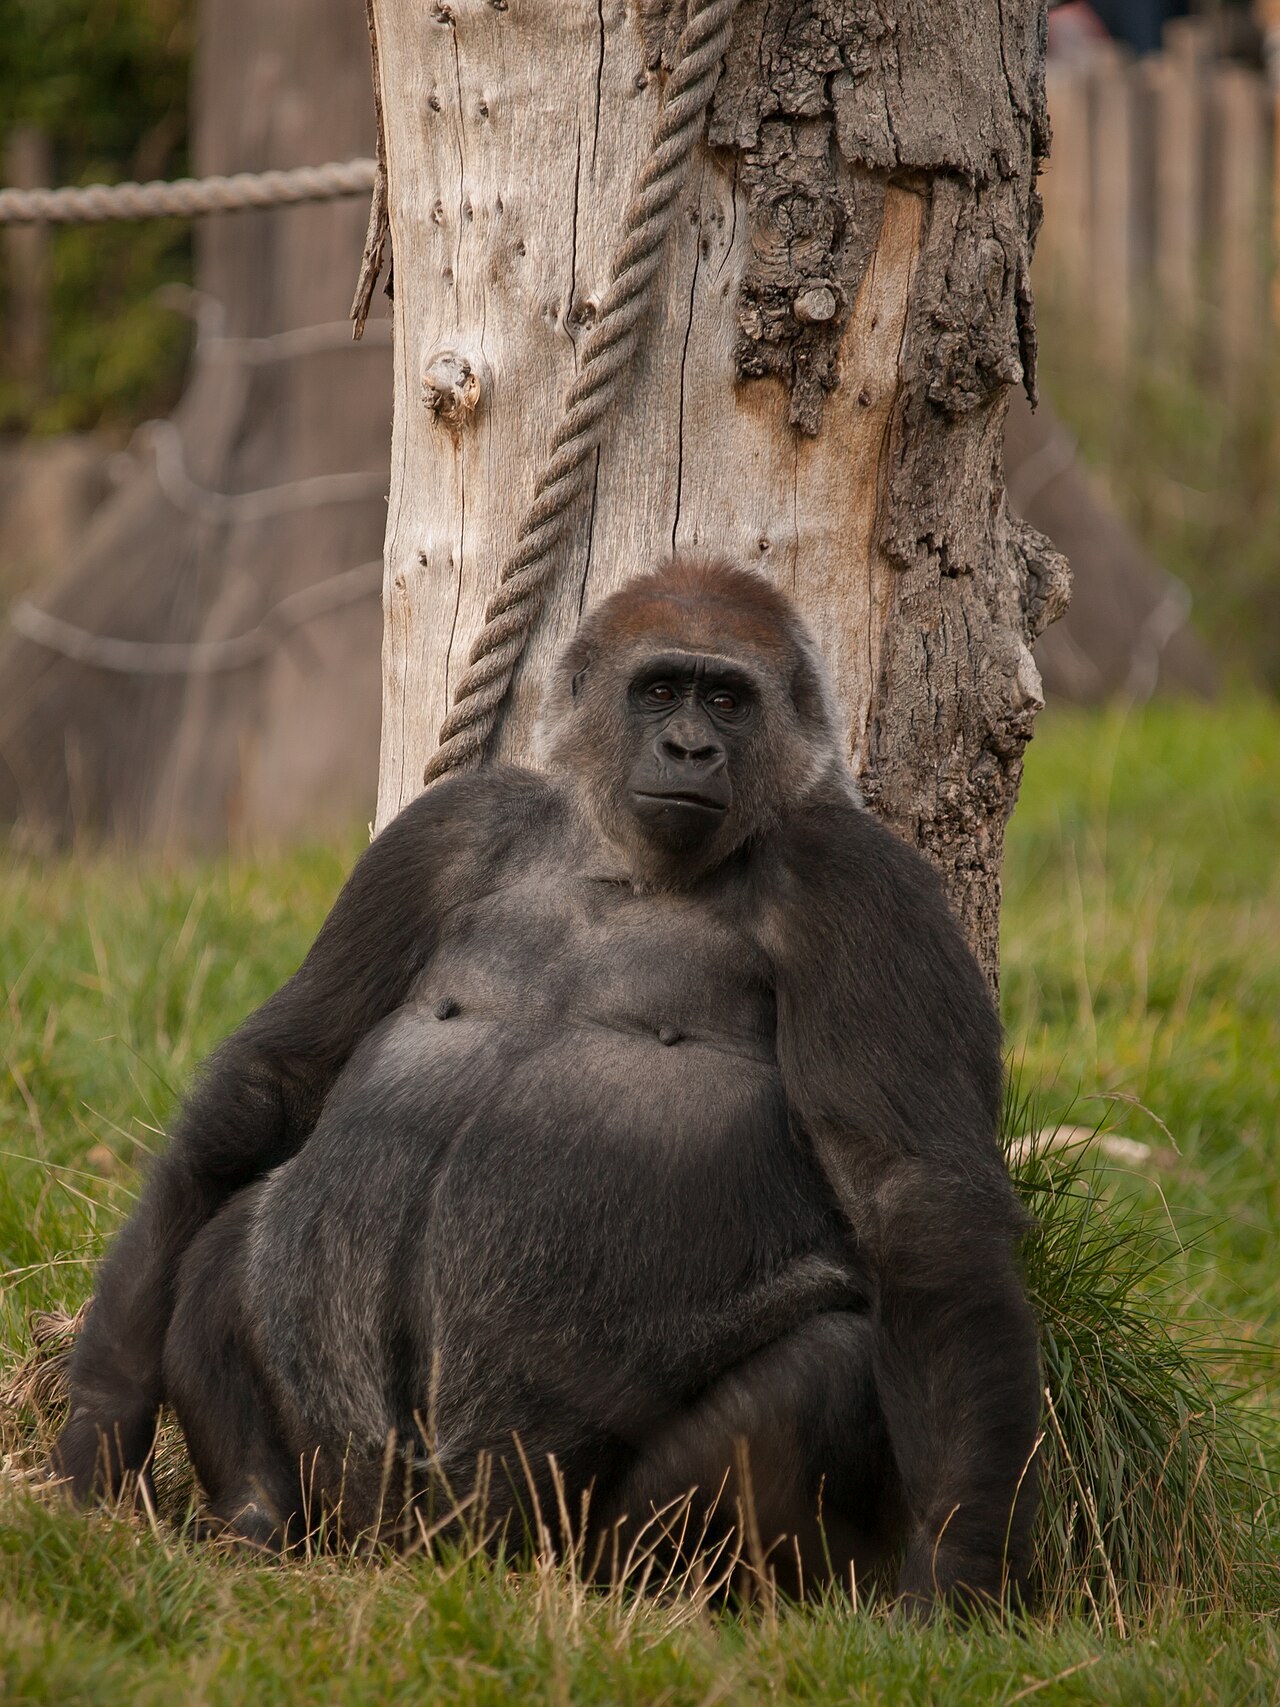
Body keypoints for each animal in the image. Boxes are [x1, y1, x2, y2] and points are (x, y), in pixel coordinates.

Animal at [54, 558, 1040, 1611]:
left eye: (729, 701)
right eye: (661, 690)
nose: (690, 748)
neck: (620, 854)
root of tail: (427, 1551)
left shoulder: (856, 882)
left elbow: (913, 1202)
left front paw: (957, 1561)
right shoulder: (445, 829)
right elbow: (274, 1081)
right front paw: (103, 1410)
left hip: (534, 1528)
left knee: (824, 1366)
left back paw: (647, 1589)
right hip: (359, 1501)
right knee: (225, 1236)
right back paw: (254, 1516)